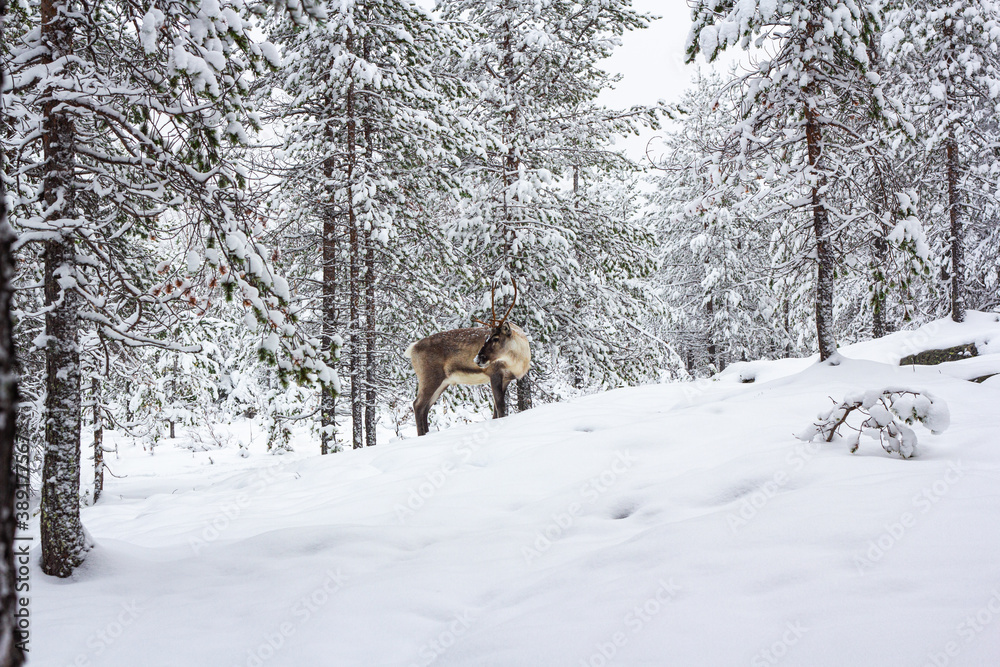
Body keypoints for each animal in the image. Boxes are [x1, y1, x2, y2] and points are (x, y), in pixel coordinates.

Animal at [404, 281, 530, 436]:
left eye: (495, 338)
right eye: (487, 337)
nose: (478, 359)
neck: (519, 361)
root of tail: (413, 348)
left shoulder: (506, 379)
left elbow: (496, 410)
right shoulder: (494, 373)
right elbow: (500, 407)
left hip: (443, 381)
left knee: (425, 407)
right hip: (429, 376)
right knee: (418, 404)